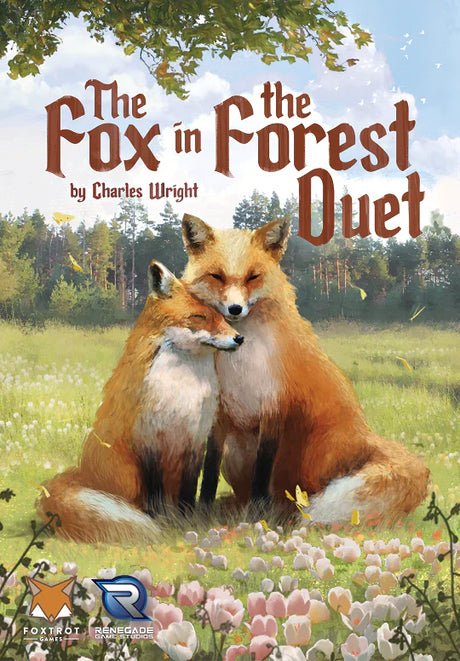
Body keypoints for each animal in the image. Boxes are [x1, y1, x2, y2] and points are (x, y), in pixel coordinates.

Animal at [38, 260, 244, 544]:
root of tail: (81, 472)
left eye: (223, 317)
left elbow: (189, 488)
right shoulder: (148, 437)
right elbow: (153, 490)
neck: (181, 389)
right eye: (199, 317)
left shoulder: (195, 438)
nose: (239, 338)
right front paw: (160, 520)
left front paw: (187, 518)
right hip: (128, 474)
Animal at [181, 214, 430, 523]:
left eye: (253, 277)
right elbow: (209, 469)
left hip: (315, 451)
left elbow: (263, 470)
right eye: (216, 276)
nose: (235, 309)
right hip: (237, 452)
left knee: (299, 493)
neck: (240, 363)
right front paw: (201, 511)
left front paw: (257, 514)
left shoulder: (274, 408)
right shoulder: (219, 414)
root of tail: (365, 436)